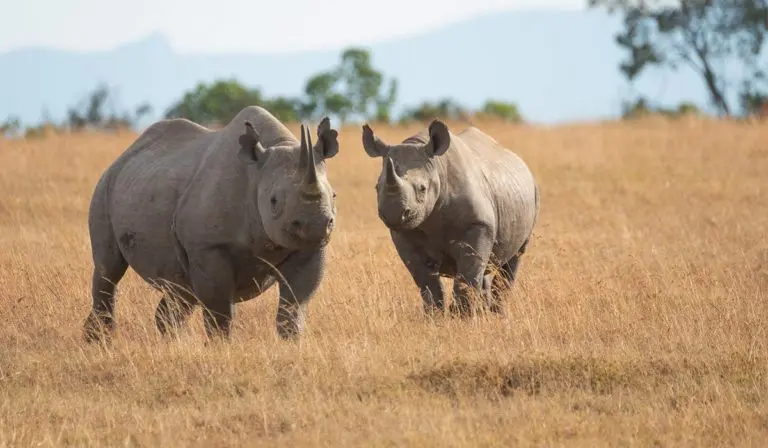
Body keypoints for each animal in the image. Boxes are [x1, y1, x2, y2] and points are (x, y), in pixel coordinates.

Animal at [80, 106, 340, 344]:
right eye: (274, 201)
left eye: (334, 196)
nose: (315, 226)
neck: (256, 175)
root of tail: (124, 156)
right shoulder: (208, 246)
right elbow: (219, 308)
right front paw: (221, 347)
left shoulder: (308, 250)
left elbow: (294, 304)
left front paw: (291, 344)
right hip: (105, 186)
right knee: (108, 270)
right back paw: (98, 342)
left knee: (180, 288)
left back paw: (176, 344)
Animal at [362, 119, 536, 316]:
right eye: (376, 187)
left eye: (422, 188)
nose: (393, 214)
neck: (438, 168)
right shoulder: (403, 234)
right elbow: (426, 281)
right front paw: (434, 317)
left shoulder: (478, 224)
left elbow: (468, 274)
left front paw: (462, 317)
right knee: (484, 267)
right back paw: (485, 313)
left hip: (531, 193)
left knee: (512, 259)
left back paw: (497, 315)